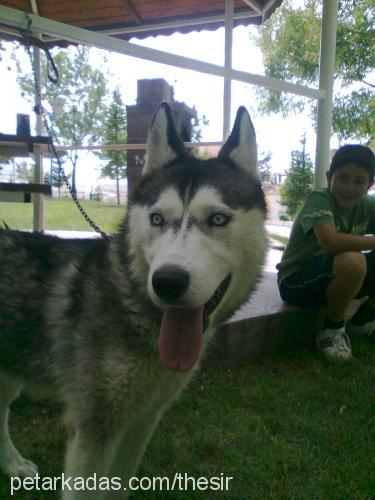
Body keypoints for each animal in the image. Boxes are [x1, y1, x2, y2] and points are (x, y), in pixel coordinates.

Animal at [0, 101, 268, 496]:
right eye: (156, 218)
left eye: (218, 219)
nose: (168, 281)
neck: (138, 311)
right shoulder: (93, 429)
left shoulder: (142, 420)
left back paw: (12, 463)